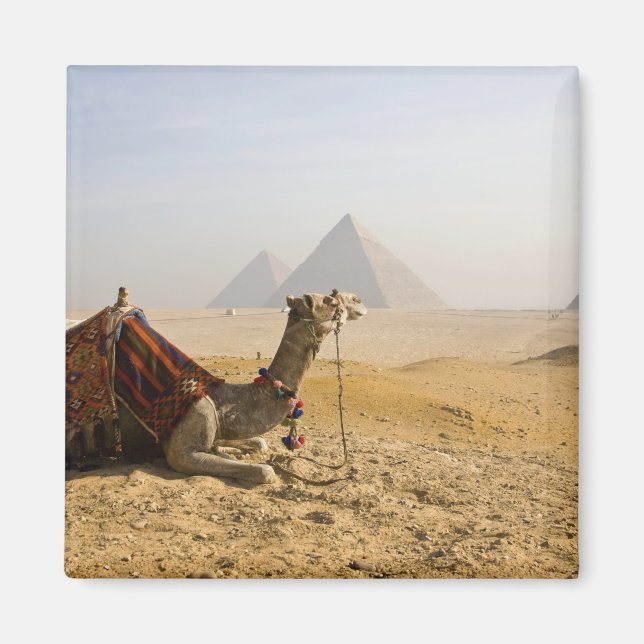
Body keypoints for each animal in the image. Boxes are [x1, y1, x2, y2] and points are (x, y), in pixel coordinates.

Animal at [67, 291, 367, 484]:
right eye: (330, 300)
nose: (360, 301)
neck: (221, 395)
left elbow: (257, 441)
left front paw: (232, 450)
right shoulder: (183, 449)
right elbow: (265, 472)